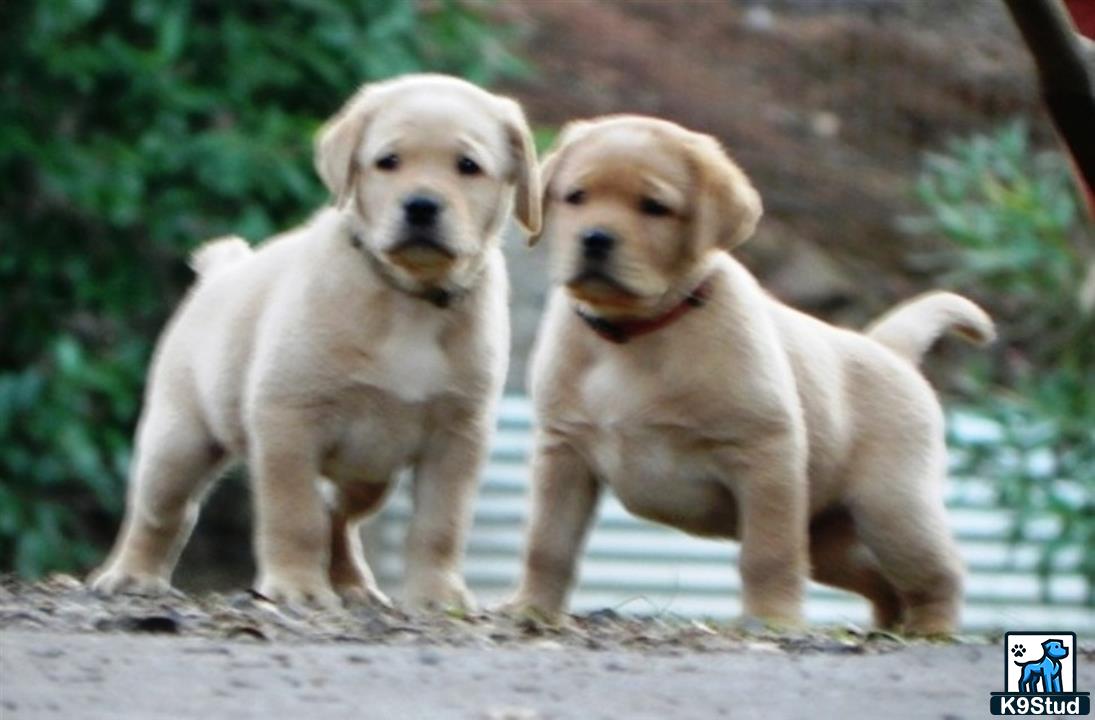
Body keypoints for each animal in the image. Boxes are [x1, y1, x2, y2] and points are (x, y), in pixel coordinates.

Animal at [88, 75, 538, 608]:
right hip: (179, 440)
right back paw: (132, 575)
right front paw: (298, 587)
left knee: (338, 515)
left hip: (369, 473)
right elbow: (295, 515)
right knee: (162, 512)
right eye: (388, 161)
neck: (407, 299)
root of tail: (222, 271)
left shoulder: (458, 437)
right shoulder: (288, 421)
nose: (421, 206)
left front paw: (437, 596)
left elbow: (440, 526)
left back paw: (353, 583)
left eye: (468, 166)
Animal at [508, 114, 998, 630]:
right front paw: (533, 606)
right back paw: (887, 630)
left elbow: (768, 553)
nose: (595, 239)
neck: (635, 333)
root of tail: (889, 348)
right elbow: (547, 543)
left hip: (891, 509)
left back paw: (932, 630)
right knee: (882, 584)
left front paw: (771, 619)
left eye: (655, 207)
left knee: (938, 573)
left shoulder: (766, 455)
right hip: (829, 539)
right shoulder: (564, 453)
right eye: (576, 197)